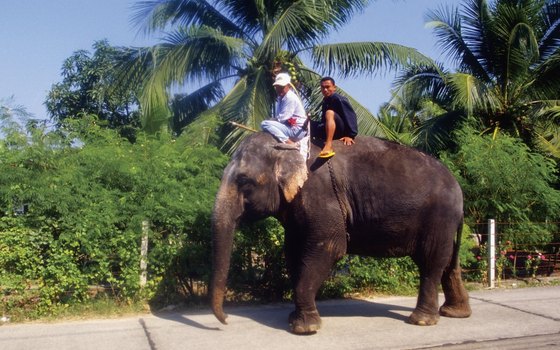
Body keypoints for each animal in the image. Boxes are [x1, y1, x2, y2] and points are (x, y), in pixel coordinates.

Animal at [208, 131, 470, 334]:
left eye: (244, 181)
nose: (226, 320)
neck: (288, 147)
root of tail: (459, 189)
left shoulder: (321, 195)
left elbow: (330, 247)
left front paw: (305, 328)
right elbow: (292, 252)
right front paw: (295, 319)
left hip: (439, 217)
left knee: (431, 262)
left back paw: (422, 321)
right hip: (444, 223)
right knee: (449, 263)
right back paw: (455, 313)